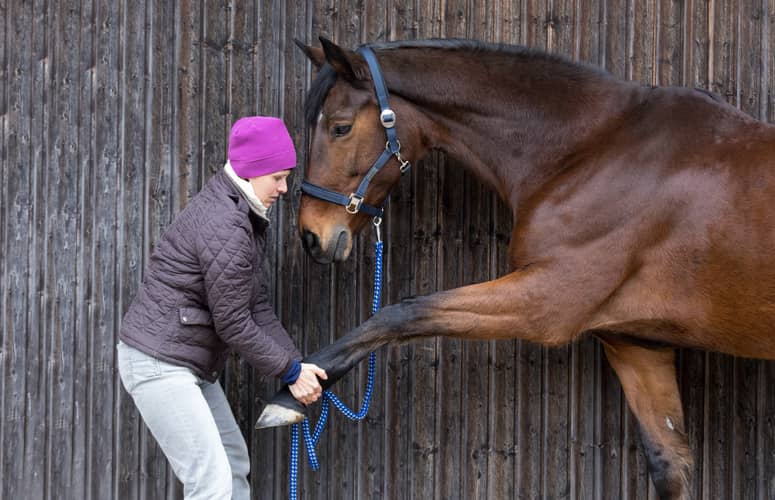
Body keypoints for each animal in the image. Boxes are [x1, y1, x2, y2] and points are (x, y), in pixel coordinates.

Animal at [258, 37, 775, 498]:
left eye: (340, 127)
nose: (312, 236)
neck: (591, 151)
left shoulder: (546, 303)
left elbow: (402, 312)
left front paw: (291, 395)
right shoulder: (637, 344)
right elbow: (670, 465)